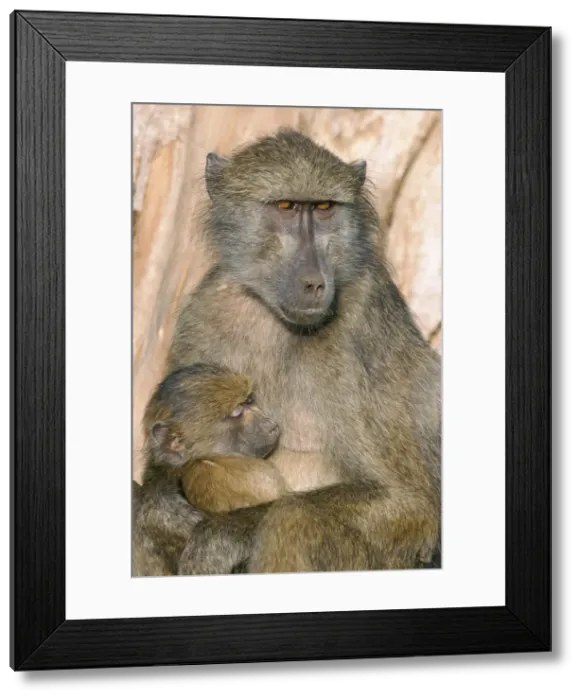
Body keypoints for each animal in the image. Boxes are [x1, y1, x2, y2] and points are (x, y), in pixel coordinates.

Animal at [156, 127, 441, 576]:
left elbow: (409, 501)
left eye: (323, 208)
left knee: (294, 517)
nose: (314, 283)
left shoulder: (363, 320)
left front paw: (219, 537)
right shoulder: (204, 311)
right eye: (286, 207)